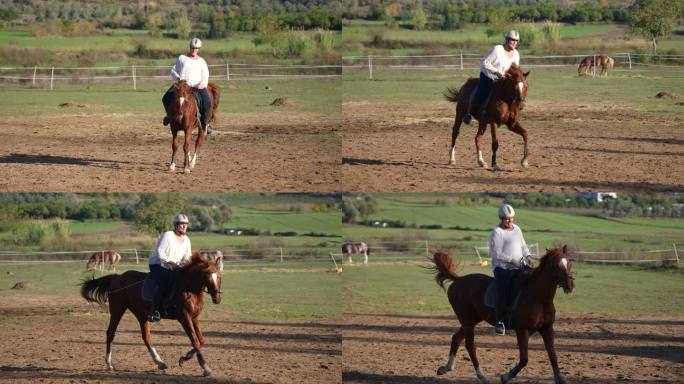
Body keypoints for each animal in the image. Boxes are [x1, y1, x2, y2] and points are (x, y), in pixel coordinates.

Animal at [81, 252, 222, 378]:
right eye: (207, 275)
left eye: (219, 276)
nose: (217, 298)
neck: (189, 288)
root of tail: (117, 277)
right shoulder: (184, 317)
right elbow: (195, 341)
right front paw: (205, 367)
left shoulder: (194, 318)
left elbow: (201, 340)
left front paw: (184, 358)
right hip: (118, 309)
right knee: (111, 333)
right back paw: (109, 364)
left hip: (141, 314)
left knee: (146, 337)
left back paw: (159, 362)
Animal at [430, 246, 576, 384]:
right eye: (555, 265)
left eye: (569, 262)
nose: (569, 284)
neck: (538, 298)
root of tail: (458, 280)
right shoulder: (522, 331)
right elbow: (524, 359)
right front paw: (506, 377)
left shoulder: (547, 329)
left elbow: (553, 356)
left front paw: (560, 379)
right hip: (467, 321)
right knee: (470, 345)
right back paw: (482, 376)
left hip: (471, 321)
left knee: (456, 338)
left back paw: (446, 368)